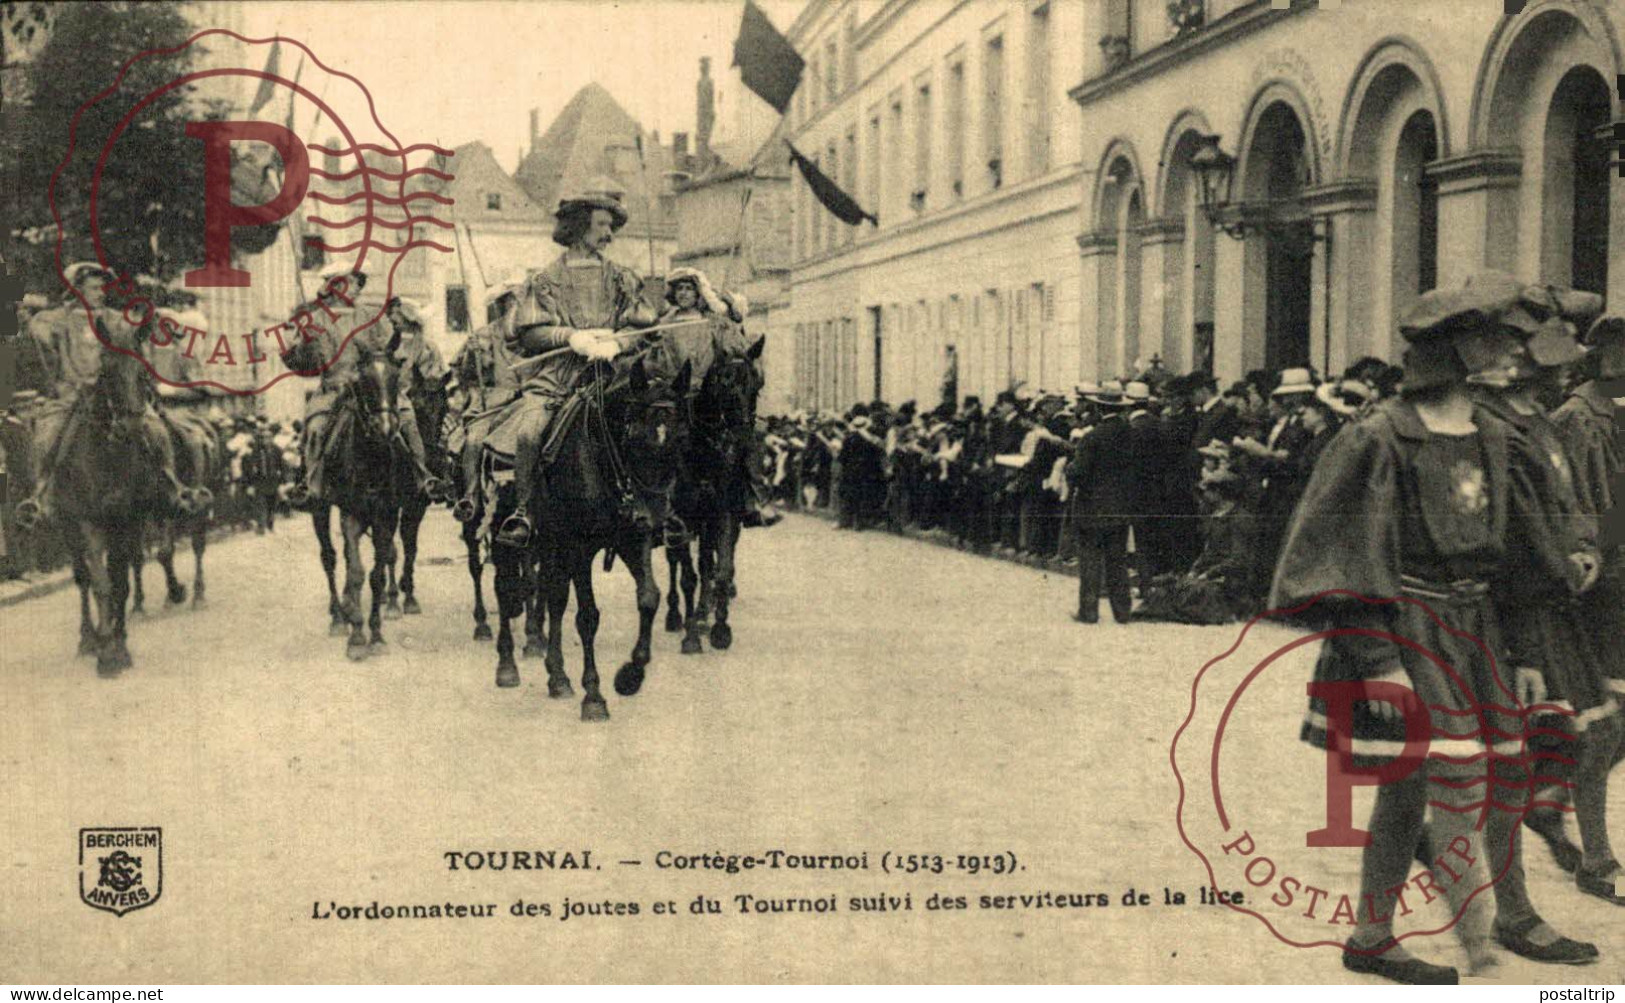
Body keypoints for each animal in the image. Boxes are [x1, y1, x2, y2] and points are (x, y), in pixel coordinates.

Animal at [481, 356, 685, 715]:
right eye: (636, 440)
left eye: (678, 441)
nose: (651, 514)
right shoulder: (579, 547)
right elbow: (588, 616)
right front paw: (594, 696)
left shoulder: (632, 540)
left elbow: (649, 597)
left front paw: (630, 675)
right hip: (509, 536)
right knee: (506, 589)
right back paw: (507, 667)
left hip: (551, 542)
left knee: (554, 597)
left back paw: (558, 677)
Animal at [663, 336, 763, 656]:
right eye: (725, 382)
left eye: (757, 384)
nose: (742, 437)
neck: (705, 449)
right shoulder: (682, 520)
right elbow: (688, 577)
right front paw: (691, 637)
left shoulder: (724, 515)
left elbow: (720, 570)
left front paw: (720, 629)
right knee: (675, 563)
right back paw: (676, 615)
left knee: (708, 562)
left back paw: (704, 614)